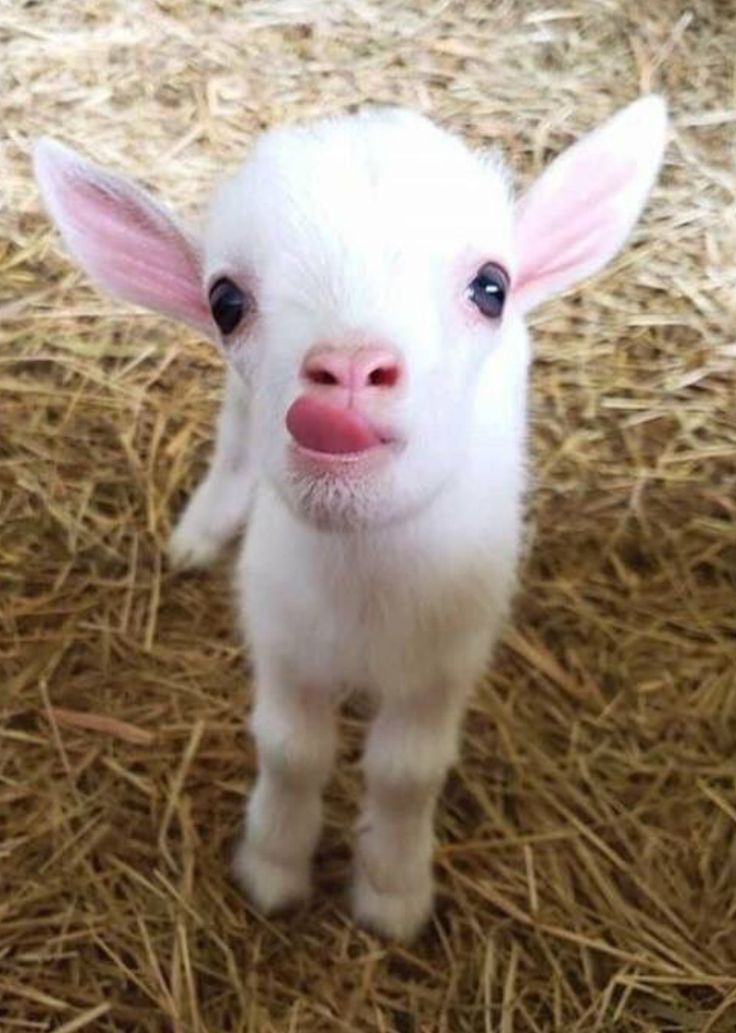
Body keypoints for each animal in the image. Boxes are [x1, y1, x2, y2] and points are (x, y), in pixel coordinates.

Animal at [33, 98, 665, 946]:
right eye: (225, 302)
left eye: (491, 287)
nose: (350, 369)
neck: (365, 586)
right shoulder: (282, 641)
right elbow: (292, 751)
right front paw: (273, 866)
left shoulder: (446, 662)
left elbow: (406, 772)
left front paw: (392, 891)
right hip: (239, 410)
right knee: (235, 442)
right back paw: (201, 531)